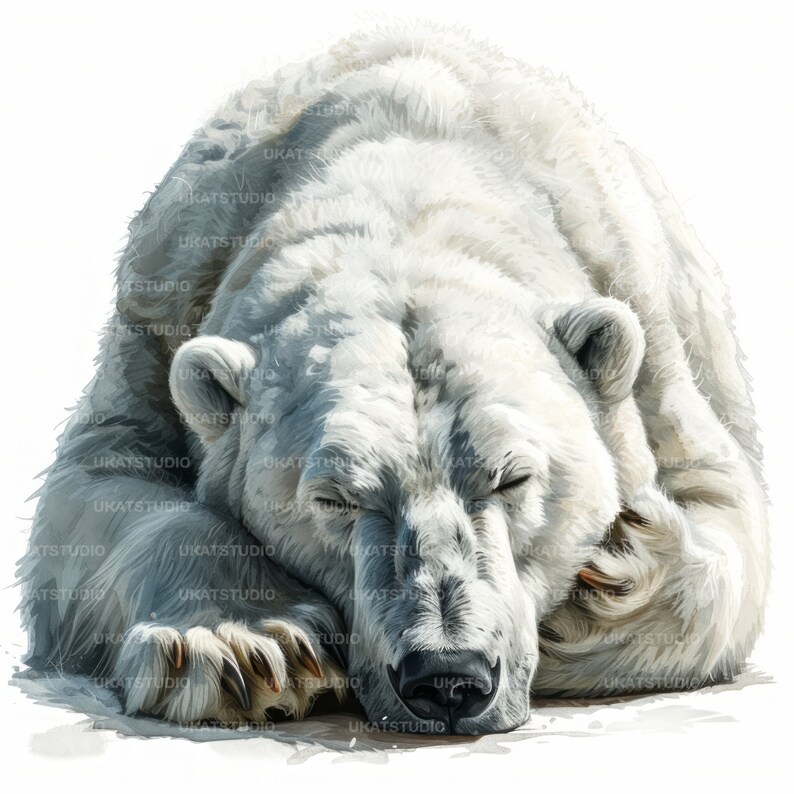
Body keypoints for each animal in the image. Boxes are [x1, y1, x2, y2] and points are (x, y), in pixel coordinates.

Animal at [18, 20, 770, 735]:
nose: (447, 677)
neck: (410, 165)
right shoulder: (163, 301)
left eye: (514, 478)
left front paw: (605, 579)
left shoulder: (643, 322)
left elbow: (722, 500)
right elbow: (99, 481)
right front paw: (242, 646)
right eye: (335, 498)